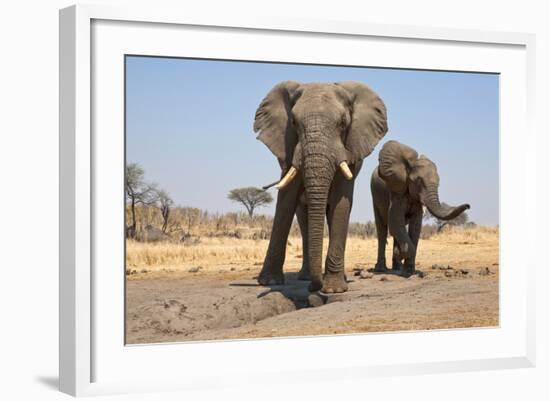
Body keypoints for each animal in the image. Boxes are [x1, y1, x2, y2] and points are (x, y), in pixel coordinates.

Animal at [253, 79, 388, 292]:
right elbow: (286, 200)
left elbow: (341, 200)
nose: (314, 288)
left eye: (343, 123)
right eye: (293, 122)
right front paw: (269, 282)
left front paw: (333, 289)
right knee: (304, 217)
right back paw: (305, 277)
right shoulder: (289, 147)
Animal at [370, 140, 470, 276]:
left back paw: (397, 267)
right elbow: (395, 220)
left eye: (439, 182)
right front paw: (402, 257)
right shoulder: (397, 192)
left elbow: (415, 225)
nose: (468, 205)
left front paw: (408, 270)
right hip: (375, 195)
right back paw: (381, 269)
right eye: (419, 181)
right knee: (382, 229)